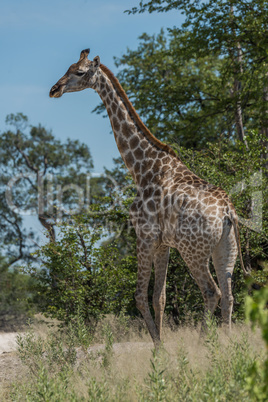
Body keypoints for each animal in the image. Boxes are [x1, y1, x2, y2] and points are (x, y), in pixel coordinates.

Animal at [48, 49, 249, 346]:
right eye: (69, 67)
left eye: (80, 72)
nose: (55, 89)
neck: (142, 168)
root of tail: (228, 211)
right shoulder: (163, 243)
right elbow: (160, 298)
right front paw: (160, 343)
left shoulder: (143, 235)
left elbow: (140, 296)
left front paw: (158, 347)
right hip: (225, 249)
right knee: (229, 296)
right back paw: (227, 346)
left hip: (194, 251)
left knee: (212, 292)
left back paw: (205, 343)